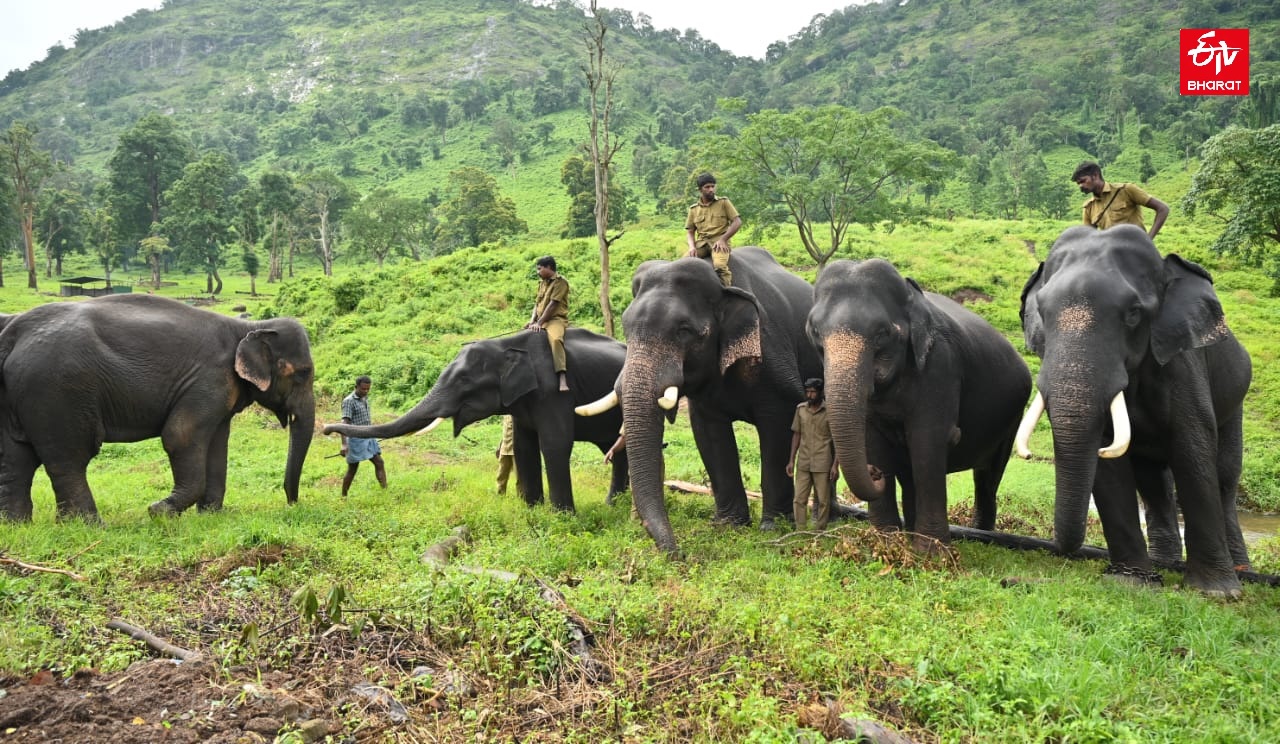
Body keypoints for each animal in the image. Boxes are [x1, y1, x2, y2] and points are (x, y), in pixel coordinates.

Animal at [0, 293, 317, 519]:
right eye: (303, 373)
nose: (292, 503)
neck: (247, 327)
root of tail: (14, 335)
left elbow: (218, 443)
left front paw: (210, 515)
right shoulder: (209, 379)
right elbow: (180, 436)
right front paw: (158, 512)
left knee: (16, 456)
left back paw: (17, 524)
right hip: (58, 391)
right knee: (69, 456)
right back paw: (87, 525)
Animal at [322, 327, 627, 507]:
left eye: (463, 380)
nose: (326, 429)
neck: (506, 345)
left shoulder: (555, 393)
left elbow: (554, 444)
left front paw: (562, 517)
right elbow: (523, 447)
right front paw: (531, 510)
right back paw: (613, 504)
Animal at [581, 247, 819, 553]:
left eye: (684, 330)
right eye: (626, 327)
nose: (676, 554)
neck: (722, 286)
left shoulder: (770, 349)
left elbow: (778, 424)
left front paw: (773, 528)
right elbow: (709, 433)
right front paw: (728, 525)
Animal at [803, 258, 1034, 548]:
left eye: (882, 333)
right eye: (815, 332)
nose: (875, 474)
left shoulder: (941, 367)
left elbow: (928, 441)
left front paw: (932, 552)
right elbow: (874, 442)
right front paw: (887, 544)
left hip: (1012, 419)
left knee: (987, 477)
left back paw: (981, 535)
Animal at [1018, 222, 1249, 594]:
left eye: (1133, 314)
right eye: (1042, 311)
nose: (1063, 551)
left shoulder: (1184, 365)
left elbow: (1193, 451)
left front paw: (1216, 592)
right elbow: (1108, 463)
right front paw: (1133, 581)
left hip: (1236, 399)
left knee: (1225, 477)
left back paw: (1241, 570)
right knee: (1153, 482)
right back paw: (1165, 563)